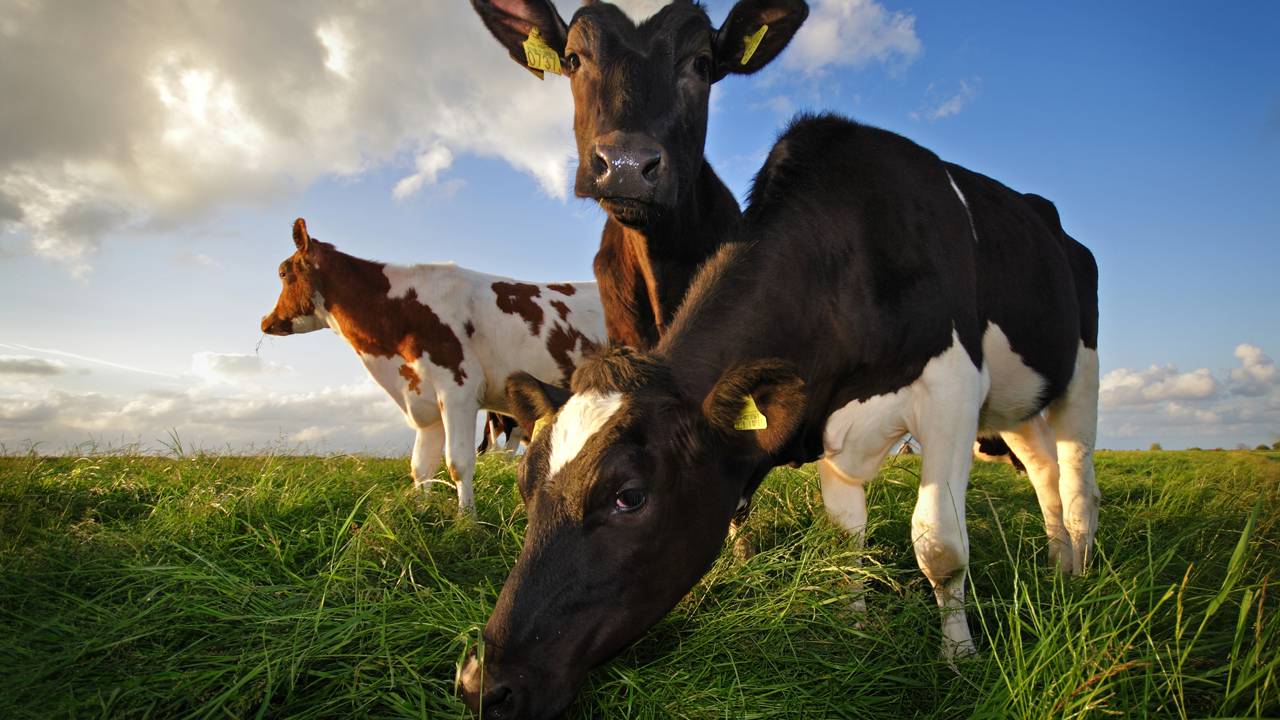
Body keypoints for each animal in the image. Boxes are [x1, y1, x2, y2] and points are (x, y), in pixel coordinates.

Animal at [260, 218, 604, 512]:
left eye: (282, 273)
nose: (266, 321)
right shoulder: (422, 399)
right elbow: (421, 468)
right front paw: (420, 514)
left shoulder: (458, 391)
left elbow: (458, 463)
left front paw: (467, 522)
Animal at [458, 115, 1100, 718]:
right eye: (524, 485)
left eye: (629, 496)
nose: (482, 686)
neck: (853, 251)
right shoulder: (835, 426)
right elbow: (845, 537)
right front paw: (855, 629)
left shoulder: (954, 386)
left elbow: (939, 544)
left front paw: (959, 660)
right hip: (1018, 404)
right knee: (1041, 470)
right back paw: (1054, 562)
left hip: (1079, 371)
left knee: (1074, 476)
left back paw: (1081, 570)